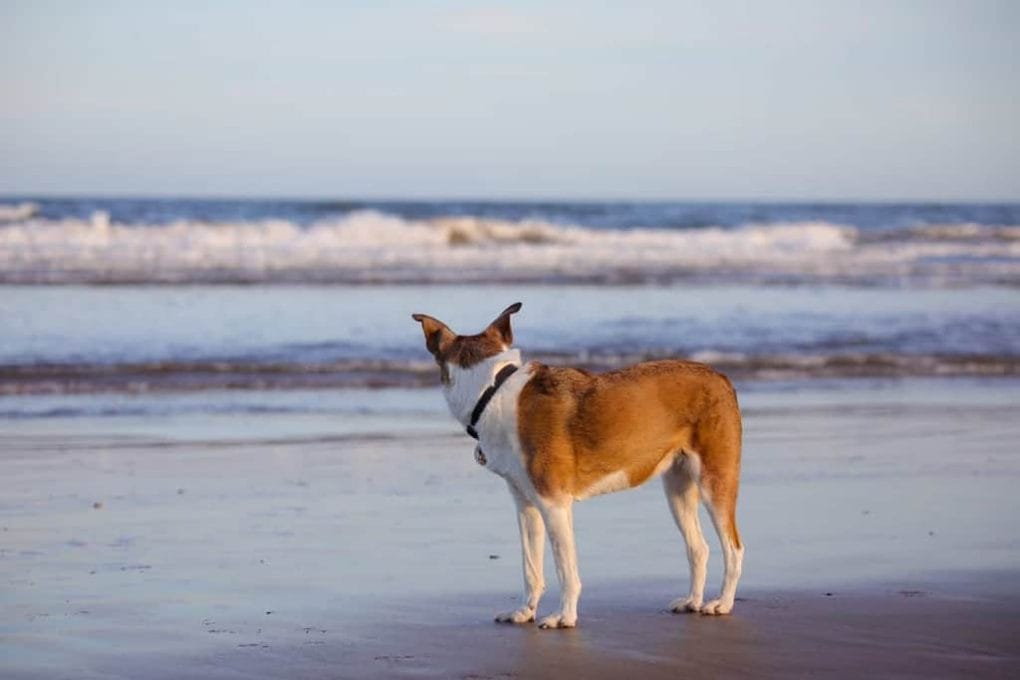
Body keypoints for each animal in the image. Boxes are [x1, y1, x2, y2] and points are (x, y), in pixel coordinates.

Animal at [410, 301, 746, 628]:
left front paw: (564, 617)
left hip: (715, 482)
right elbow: (531, 568)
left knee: (733, 549)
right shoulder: (527, 506)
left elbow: (565, 571)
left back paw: (723, 603)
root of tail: (720, 377)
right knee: (698, 548)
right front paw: (525, 611)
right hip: (677, 488)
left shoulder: (554, 504)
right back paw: (693, 601)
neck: (493, 391)